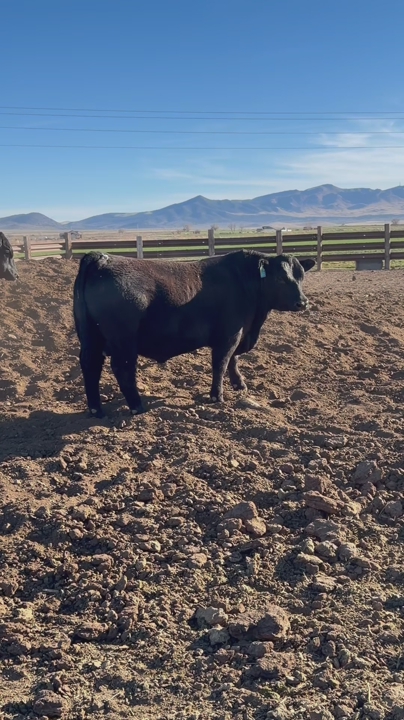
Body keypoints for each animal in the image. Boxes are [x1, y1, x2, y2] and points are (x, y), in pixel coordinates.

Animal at [73, 250, 315, 418]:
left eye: (301, 277)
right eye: (281, 278)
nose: (302, 302)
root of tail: (101, 258)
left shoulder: (237, 334)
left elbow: (234, 360)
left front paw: (239, 385)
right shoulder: (229, 335)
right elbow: (221, 363)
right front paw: (217, 396)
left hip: (90, 338)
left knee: (90, 365)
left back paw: (96, 410)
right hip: (124, 341)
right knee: (122, 369)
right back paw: (136, 406)